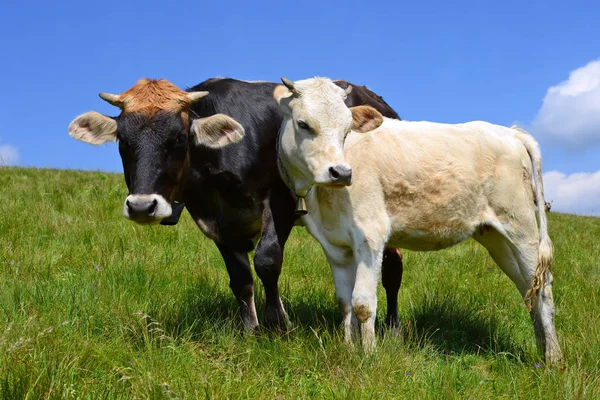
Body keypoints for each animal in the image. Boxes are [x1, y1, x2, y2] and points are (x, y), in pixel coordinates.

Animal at [68, 77, 406, 332]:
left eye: (178, 138)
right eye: (123, 141)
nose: (141, 206)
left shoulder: (281, 198)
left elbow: (267, 261)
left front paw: (278, 325)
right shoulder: (215, 220)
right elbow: (240, 278)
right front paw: (250, 329)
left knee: (392, 267)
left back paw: (392, 327)